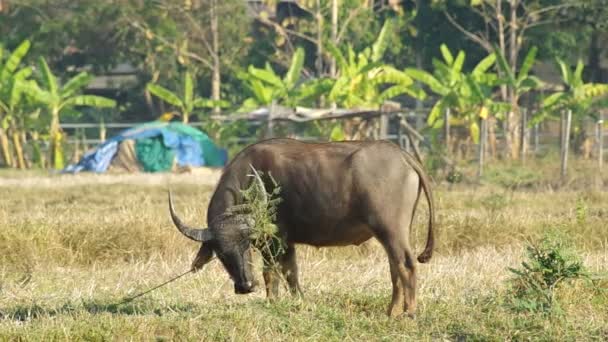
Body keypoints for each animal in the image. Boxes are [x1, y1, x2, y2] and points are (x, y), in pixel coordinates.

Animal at [169, 137, 434, 318]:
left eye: (245, 245)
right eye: (222, 254)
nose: (245, 286)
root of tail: (403, 155)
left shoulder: (275, 240)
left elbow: (274, 273)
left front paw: (277, 303)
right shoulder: (287, 243)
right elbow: (289, 274)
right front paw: (297, 303)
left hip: (391, 229)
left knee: (406, 264)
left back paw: (409, 313)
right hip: (390, 234)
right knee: (395, 267)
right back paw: (391, 311)